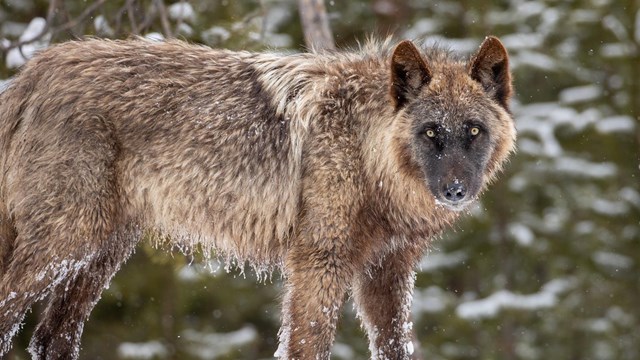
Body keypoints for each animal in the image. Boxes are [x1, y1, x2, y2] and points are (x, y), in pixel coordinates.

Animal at [0, 34, 512, 360]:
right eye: (431, 132)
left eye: (473, 131)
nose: (455, 190)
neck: (366, 153)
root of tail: (33, 72)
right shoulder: (319, 263)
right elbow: (306, 346)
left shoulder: (387, 273)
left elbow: (395, 346)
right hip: (66, 244)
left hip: (101, 253)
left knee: (51, 340)